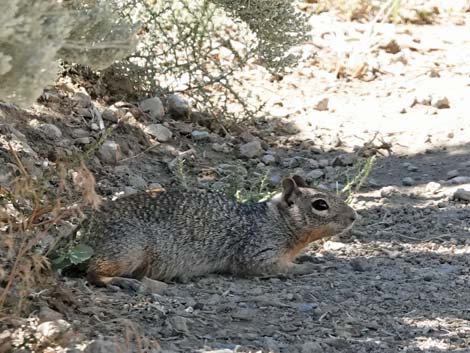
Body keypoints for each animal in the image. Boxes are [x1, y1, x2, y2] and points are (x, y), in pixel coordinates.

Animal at [81, 175, 356, 288]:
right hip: (127, 250)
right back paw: (119, 281)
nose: (355, 216)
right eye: (320, 204)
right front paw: (308, 267)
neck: (277, 221)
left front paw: (312, 259)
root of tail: (86, 233)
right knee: (92, 272)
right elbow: (275, 268)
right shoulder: (258, 251)